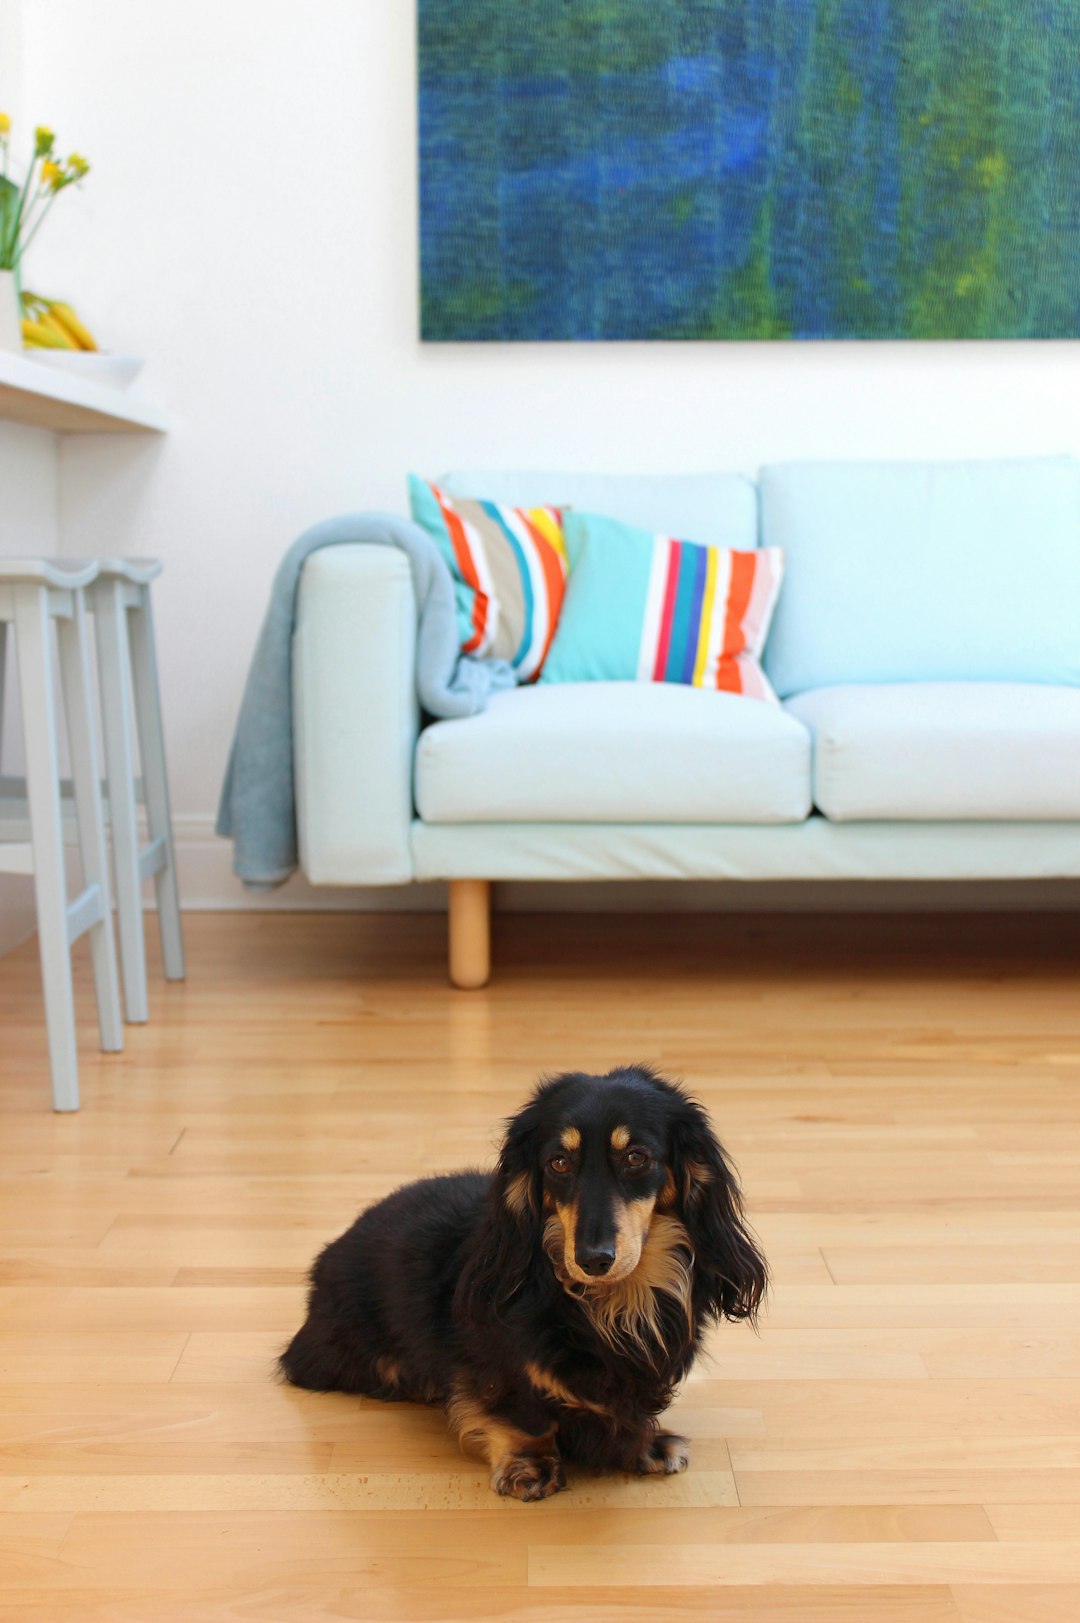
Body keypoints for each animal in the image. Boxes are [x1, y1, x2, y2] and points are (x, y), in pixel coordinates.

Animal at [279, 1064, 766, 1493]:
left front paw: (643, 1442)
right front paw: (529, 1463)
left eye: (636, 1157)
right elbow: (521, 1412)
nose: (593, 1259)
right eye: (559, 1163)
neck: (611, 1304)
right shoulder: (498, 1365)